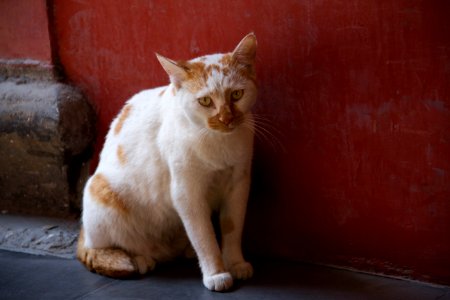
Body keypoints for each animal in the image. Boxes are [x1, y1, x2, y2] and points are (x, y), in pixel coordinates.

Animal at [77, 33, 256, 292]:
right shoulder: (187, 194)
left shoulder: (239, 184)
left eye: (236, 95)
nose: (226, 119)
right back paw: (138, 260)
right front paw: (216, 273)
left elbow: (232, 229)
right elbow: (204, 236)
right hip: (100, 193)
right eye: (205, 101)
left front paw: (235, 263)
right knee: (96, 249)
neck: (218, 142)